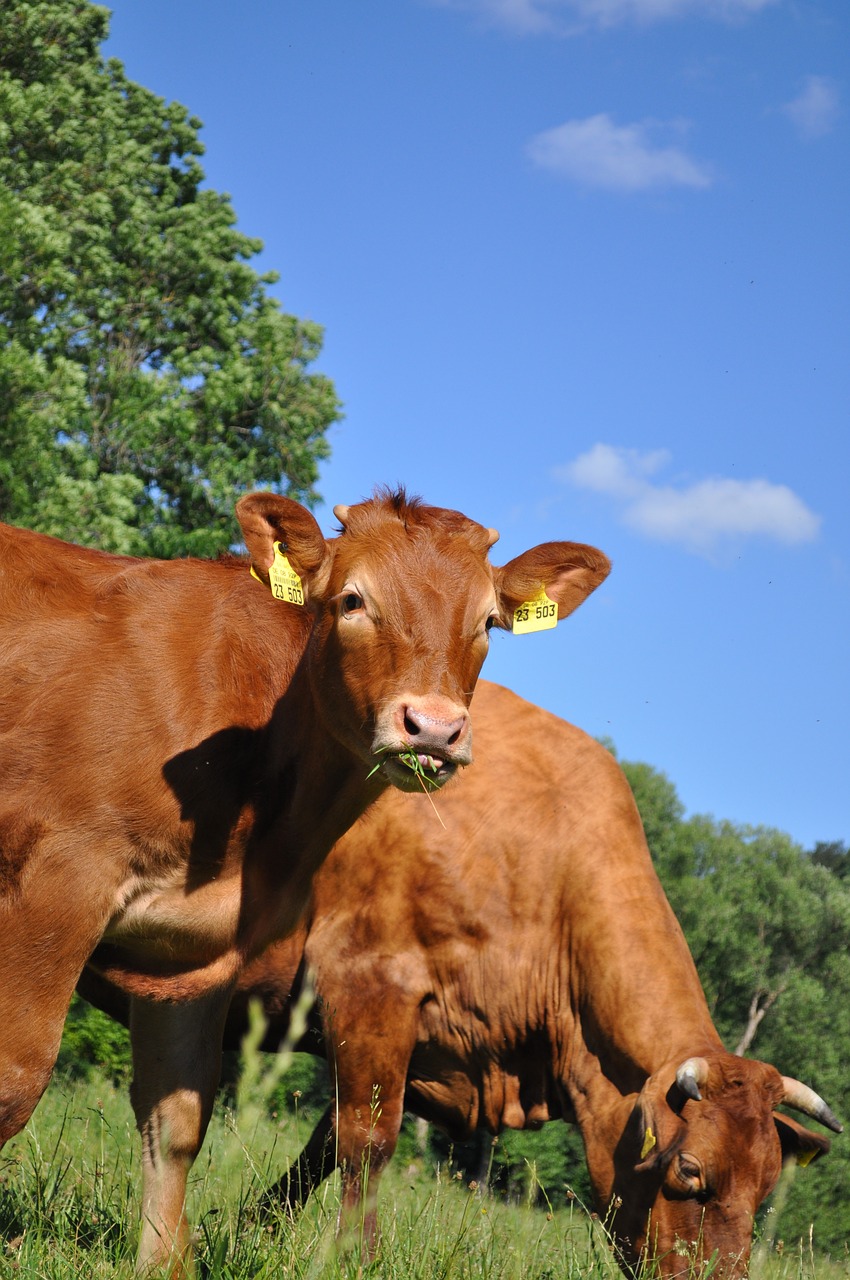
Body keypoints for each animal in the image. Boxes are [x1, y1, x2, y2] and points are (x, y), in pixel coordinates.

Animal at [0, 486, 611, 1269]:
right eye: (353, 600)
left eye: (487, 623)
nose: (434, 729)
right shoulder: (58, 881)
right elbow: (16, 1083)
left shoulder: (195, 944)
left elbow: (178, 1117)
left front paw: (163, 1264)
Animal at [83, 680, 839, 1269]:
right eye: (690, 1171)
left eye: (766, 1190)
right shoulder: (371, 985)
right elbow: (366, 1145)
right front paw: (358, 1260)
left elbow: (323, 1149)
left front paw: (244, 1230)